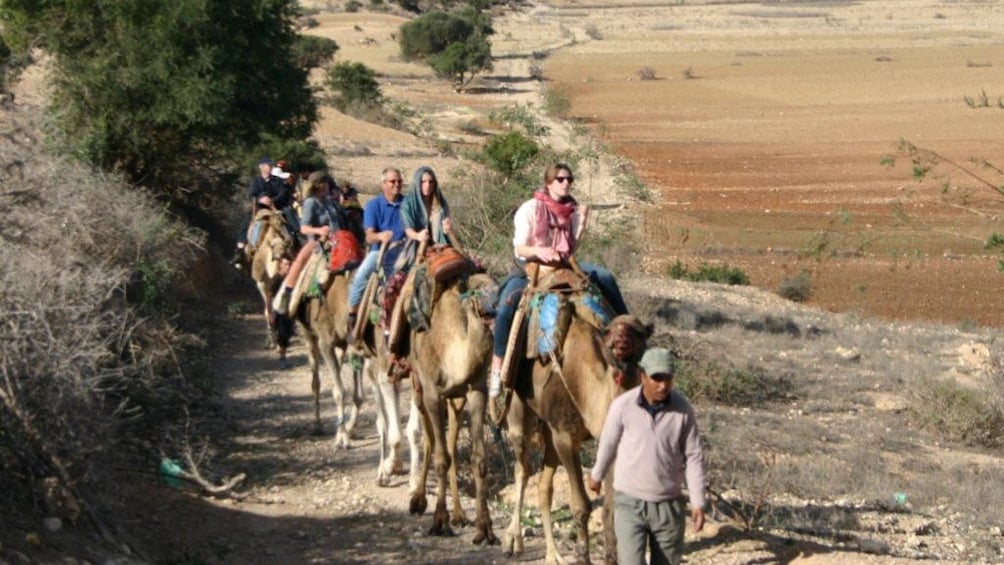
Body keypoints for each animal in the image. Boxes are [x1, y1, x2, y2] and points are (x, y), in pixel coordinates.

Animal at [401, 270, 499, 545]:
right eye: (478, 290)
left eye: (497, 285)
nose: (495, 306)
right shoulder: (433, 392)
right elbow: (441, 457)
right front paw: (439, 522)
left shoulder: (476, 389)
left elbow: (479, 459)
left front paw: (485, 529)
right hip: (420, 388)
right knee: (429, 439)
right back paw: (418, 500)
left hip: (452, 398)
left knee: (448, 440)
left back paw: (458, 514)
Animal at [501, 309, 650, 565]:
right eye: (609, 333)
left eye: (640, 333)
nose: (622, 342)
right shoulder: (565, 436)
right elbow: (581, 505)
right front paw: (582, 556)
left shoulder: (609, 439)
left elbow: (610, 508)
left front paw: (612, 557)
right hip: (520, 408)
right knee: (522, 468)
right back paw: (513, 541)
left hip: (549, 431)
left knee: (544, 485)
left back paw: (554, 554)